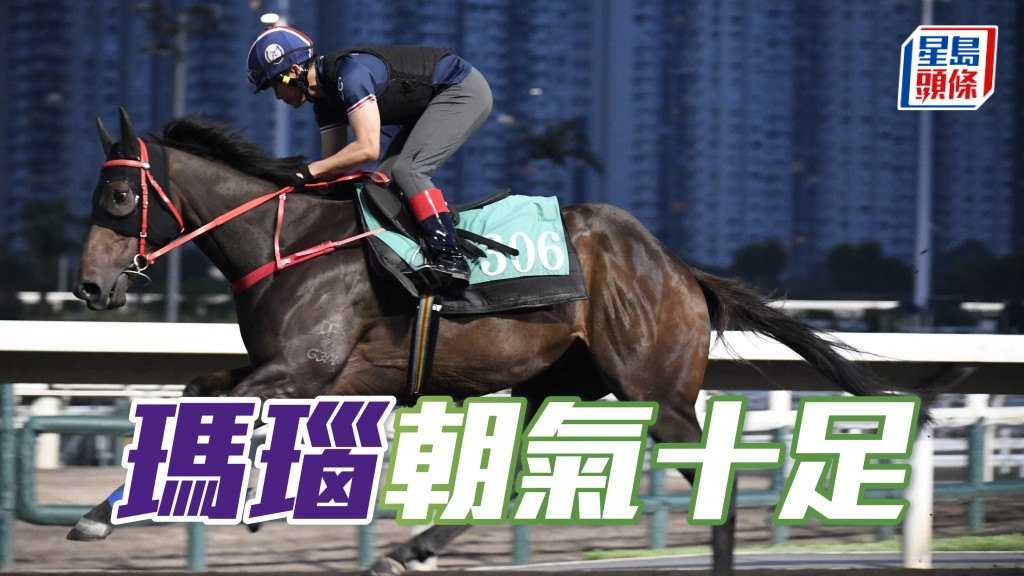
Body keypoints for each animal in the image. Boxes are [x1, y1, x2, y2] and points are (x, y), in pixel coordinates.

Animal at [71, 109, 912, 576]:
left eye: (117, 194)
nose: (90, 287)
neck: (292, 240)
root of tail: (678, 269)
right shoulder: (295, 371)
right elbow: (196, 397)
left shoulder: (302, 368)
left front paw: (114, 515)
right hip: (562, 384)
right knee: (512, 477)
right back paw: (409, 551)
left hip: (657, 395)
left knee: (721, 488)